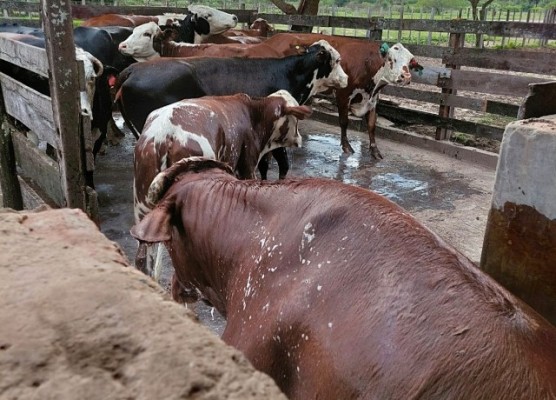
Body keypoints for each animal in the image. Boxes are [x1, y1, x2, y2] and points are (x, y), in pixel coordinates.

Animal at [264, 32, 422, 159]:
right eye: (391, 59)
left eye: (410, 62)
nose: (406, 76)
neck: (367, 62)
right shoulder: (343, 95)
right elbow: (344, 121)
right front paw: (347, 146)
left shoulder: (372, 99)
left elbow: (371, 125)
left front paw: (375, 151)